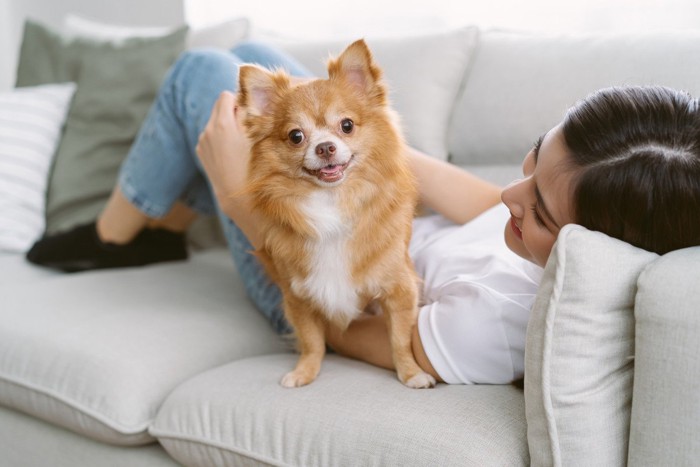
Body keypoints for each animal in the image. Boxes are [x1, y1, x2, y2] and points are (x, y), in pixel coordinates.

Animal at [237, 40, 432, 390]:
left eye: (347, 126)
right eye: (296, 136)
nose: (325, 147)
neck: (330, 201)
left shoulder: (400, 290)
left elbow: (399, 339)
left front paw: (411, 373)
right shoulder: (297, 298)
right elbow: (312, 340)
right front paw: (305, 372)